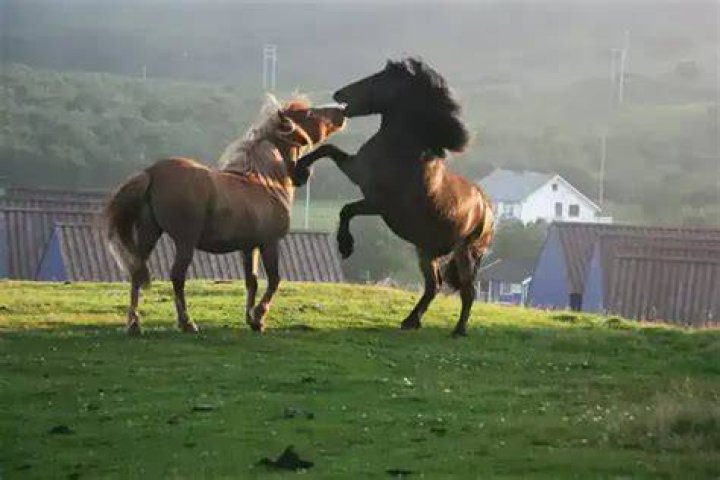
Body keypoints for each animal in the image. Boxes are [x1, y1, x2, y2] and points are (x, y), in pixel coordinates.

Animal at [104, 96, 346, 335]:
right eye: (309, 114)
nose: (341, 112)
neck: (264, 181)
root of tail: (152, 172)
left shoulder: (249, 247)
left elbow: (252, 281)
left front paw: (251, 319)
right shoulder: (270, 243)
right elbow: (274, 280)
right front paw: (259, 315)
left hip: (149, 234)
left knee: (137, 272)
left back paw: (134, 324)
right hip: (185, 241)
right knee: (177, 276)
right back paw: (187, 323)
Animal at [292, 58, 494, 337]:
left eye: (378, 79)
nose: (338, 95)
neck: (404, 151)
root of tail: (487, 208)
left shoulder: (378, 203)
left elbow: (346, 209)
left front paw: (345, 245)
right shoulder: (356, 171)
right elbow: (328, 149)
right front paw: (299, 173)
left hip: (466, 253)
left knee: (468, 290)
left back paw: (458, 330)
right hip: (426, 250)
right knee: (434, 285)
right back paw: (411, 321)